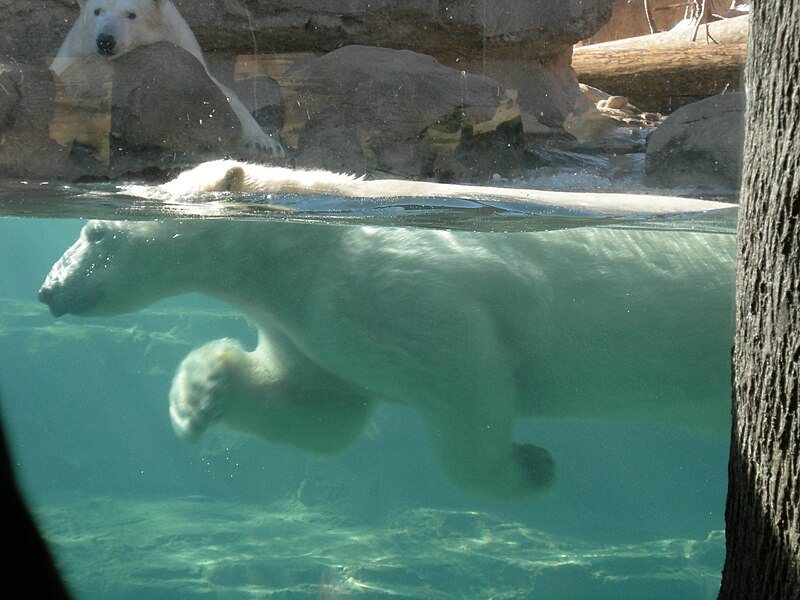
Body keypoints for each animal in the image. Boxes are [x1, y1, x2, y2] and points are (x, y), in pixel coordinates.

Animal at [37, 202, 736, 502]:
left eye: (94, 230)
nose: (48, 290)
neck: (291, 243)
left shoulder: (381, 285)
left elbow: (463, 373)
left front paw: (530, 468)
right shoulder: (307, 326)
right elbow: (320, 408)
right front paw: (200, 394)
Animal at [50, 0, 284, 157]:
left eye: (131, 14)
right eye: (97, 11)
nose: (106, 40)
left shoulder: (180, 43)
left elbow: (223, 94)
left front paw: (264, 144)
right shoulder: (74, 52)